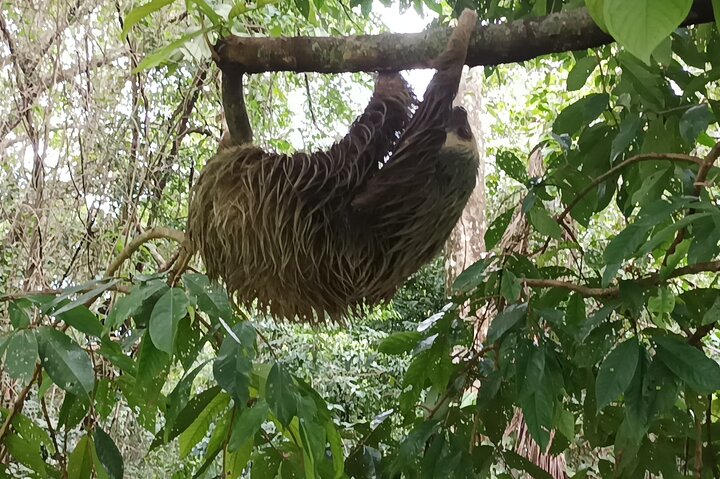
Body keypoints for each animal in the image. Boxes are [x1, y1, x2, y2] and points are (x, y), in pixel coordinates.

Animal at [187, 9, 479, 322]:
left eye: (465, 132)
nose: (462, 111)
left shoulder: (413, 167)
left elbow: (434, 97)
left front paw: (463, 29)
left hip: (278, 184)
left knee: (358, 141)